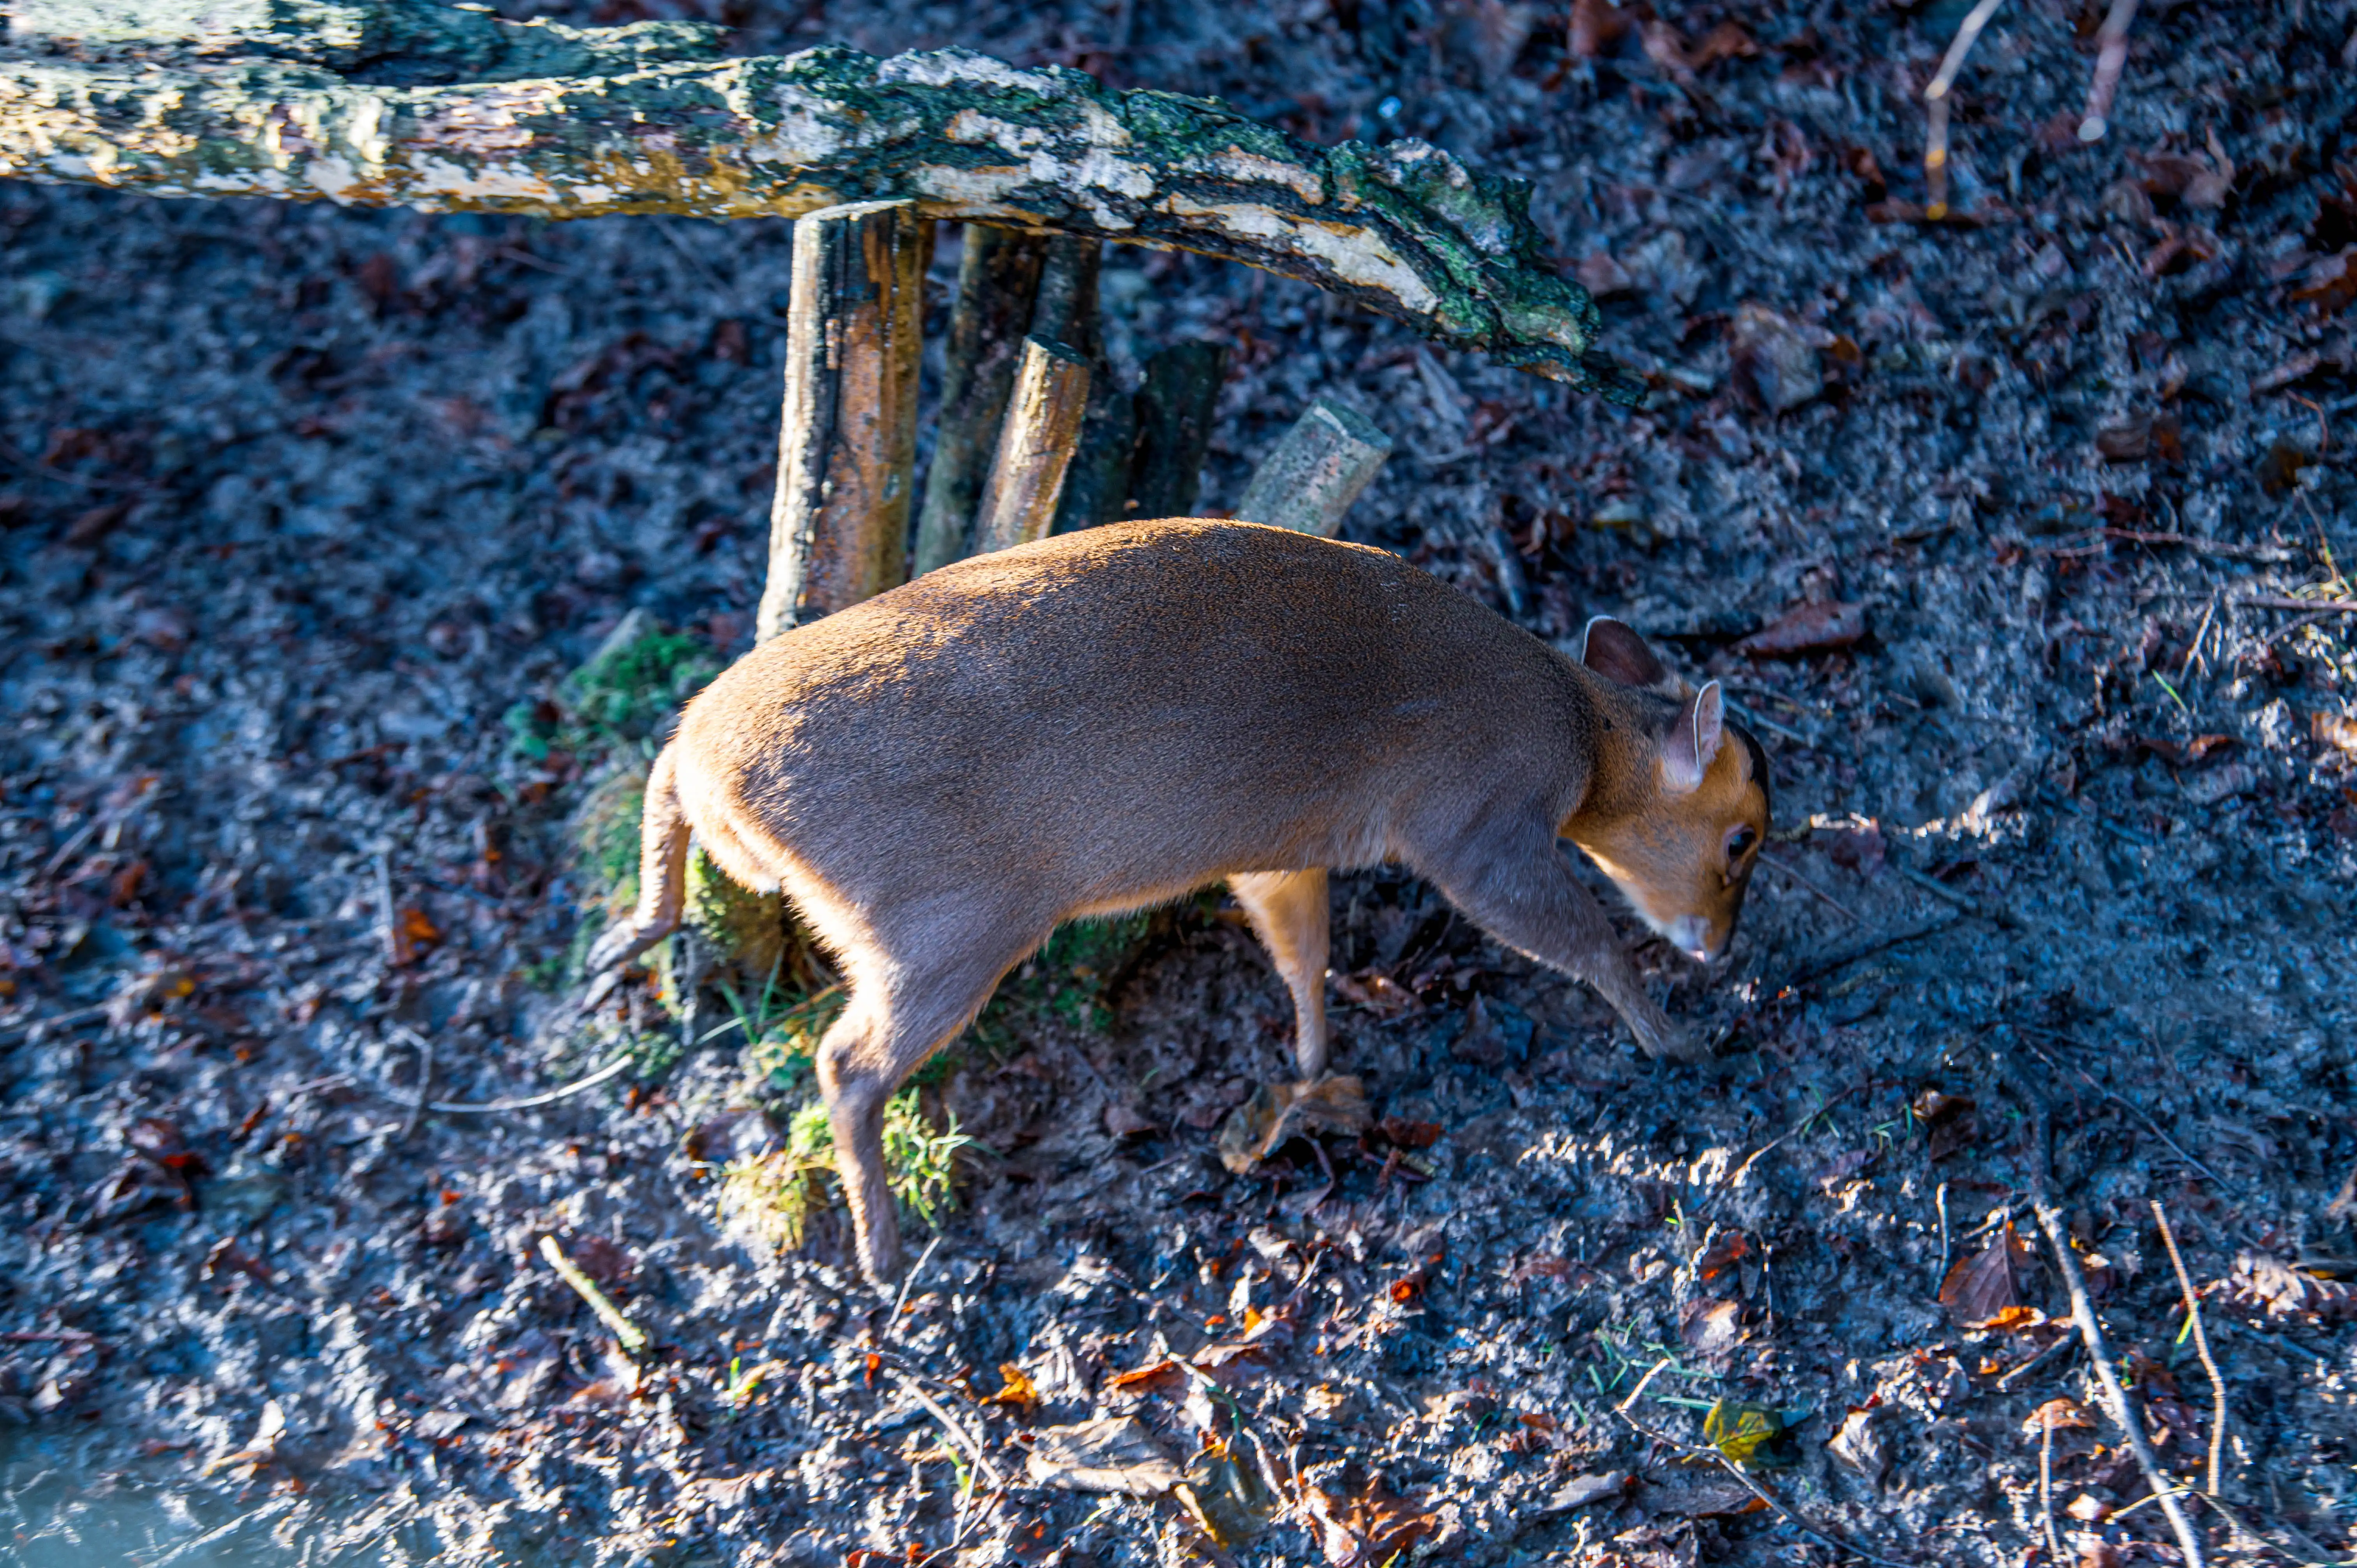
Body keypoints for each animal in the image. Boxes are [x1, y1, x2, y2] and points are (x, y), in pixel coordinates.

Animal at [584, 519, 1770, 1282]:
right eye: (1743, 837)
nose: (1718, 944)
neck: (1577, 731)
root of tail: (712, 758)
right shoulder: (1476, 827)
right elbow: (1587, 940)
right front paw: (1676, 1036)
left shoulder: (1279, 851)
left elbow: (1301, 954)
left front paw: (1309, 1069)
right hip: (941, 933)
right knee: (845, 1065)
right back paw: (884, 1248)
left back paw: (624, 942)